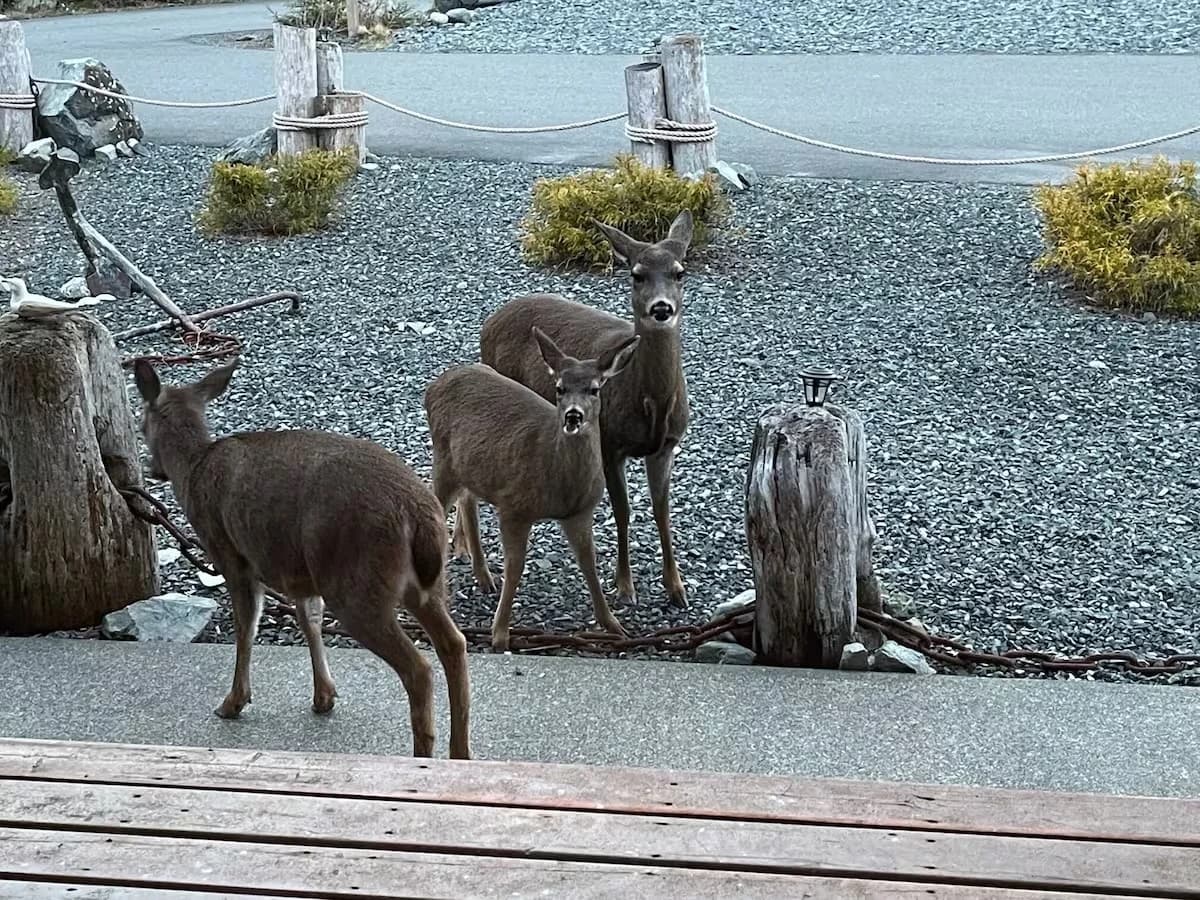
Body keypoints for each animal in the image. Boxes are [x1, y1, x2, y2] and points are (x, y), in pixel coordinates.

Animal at [131, 357, 468, 763]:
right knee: (454, 644)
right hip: (422, 583)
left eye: (140, 424)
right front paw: (324, 696)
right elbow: (310, 621)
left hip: (356, 581)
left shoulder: (232, 555)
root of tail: (416, 514)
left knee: (418, 668)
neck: (193, 468)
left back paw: (424, 754)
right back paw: (460, 752)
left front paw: (233, 702)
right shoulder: (298, 572)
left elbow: (247, 627)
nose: (152, 468)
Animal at [427, 328, 643, 652]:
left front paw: (614, 625)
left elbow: (589, 564)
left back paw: (483, 576)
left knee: (467, 500)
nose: (573, 416)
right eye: (559, 388)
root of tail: (434, 385)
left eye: (595, 389)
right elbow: (515, 567)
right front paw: (500, 634)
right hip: (444, 461)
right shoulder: (514, 506)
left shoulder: (580, 512)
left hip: (471, 468)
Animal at [465, 210, 696, 614]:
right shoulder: (610, 444)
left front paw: (676, 588)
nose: (661, 308)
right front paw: (624, 587)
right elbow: (623, 510)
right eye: (636, 274)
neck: (648, 399)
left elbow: (662, 510)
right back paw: (480, 571)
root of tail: (491, 319)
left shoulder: (666, 446)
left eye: (679, 272)